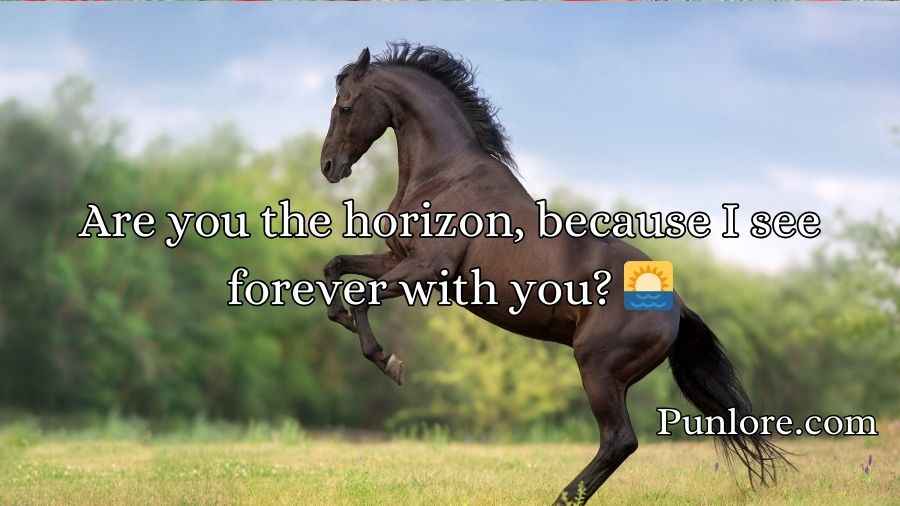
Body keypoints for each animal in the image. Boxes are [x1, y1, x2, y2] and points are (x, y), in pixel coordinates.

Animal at [319, 42, 789, 505]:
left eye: (345, 106)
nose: (328, 166)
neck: (444, 177)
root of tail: (678, 306)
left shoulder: (429, 269)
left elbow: (361, 298)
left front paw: (388, 361)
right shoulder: (397, 258)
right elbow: (336, 267)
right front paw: (341, 319)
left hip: (598, 369)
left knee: (619, 440)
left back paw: (562, 499)